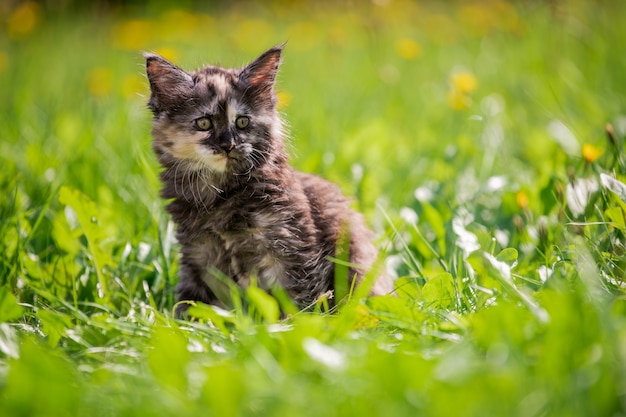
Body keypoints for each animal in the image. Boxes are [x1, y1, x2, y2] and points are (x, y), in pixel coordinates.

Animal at [146, 44, 390, 316]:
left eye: (242, 121)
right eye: (204, 123)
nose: (228, 145)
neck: (221, 195)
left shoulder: (291, 249)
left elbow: (298, 300)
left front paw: (295, 323)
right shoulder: (198, 255)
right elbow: (191, 304)